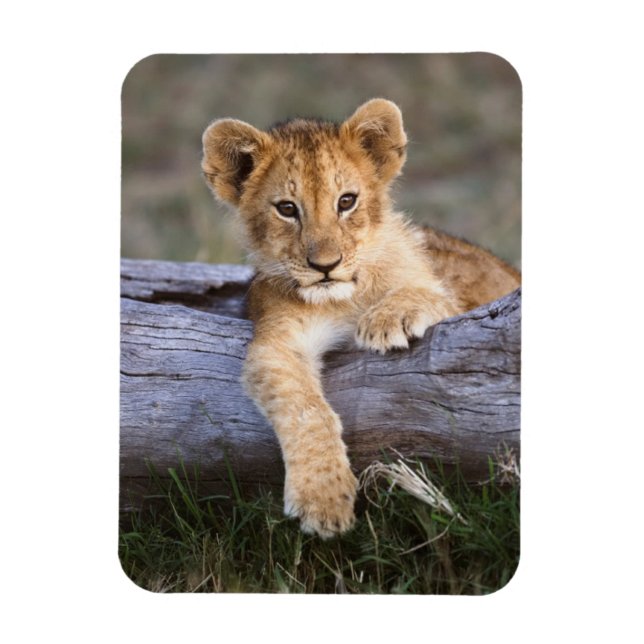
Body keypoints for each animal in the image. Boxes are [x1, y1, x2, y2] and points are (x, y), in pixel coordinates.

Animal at [202, 98, 520, 538]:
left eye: (346, 201)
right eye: (287, 209)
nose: (325, 265)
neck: (343, 299)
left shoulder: (460, 306)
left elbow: (427, 293)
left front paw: (388, 318)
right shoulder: (277, 341)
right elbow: (306, 409)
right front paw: (323, 499)